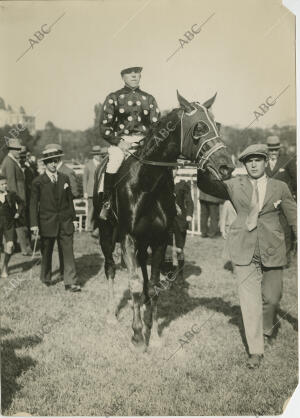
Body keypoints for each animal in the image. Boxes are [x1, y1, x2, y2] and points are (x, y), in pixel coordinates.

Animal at [94, 91, 234, 350]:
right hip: (107, 235)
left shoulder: (159, 239)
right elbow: (134, 284)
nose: (226, 166)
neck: (147, 182)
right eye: (199, 127)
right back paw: (111, 314)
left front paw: (155, 333)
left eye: (217, 125)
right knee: (110, 269)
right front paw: (138, 336)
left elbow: (154, 286)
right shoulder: (127, 238)